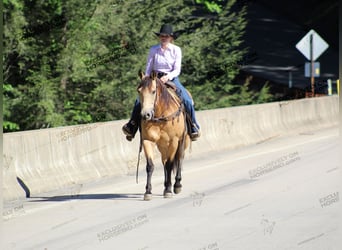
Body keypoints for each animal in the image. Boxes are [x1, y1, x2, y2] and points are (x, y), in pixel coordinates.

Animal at [136, 70, 190, 201]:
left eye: (153, 91)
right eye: (139, 91)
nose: (146, 115)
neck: (160, 116)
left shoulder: (174, 141)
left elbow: (170, 165)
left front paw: (169, 190)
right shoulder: (147, 140)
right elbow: (150, 166)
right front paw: (148, 192)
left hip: (183, 142)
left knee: (179, 159)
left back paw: (176, 185)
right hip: (162, 146)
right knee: (164, 162)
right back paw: (166, 185)